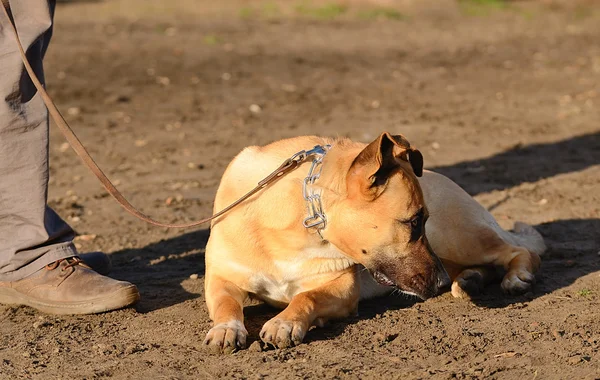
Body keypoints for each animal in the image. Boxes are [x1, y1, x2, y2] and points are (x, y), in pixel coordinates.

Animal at [202, 133, 544, 354]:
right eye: (413, 222)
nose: (440, 283)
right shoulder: (220, 278)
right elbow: (226, 303)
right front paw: (226, 328)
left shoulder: (342, 288)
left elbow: (305, 298)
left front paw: (284, 323)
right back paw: (468, 280)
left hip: (457, 237)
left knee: (521, 250)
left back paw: (515, 277)